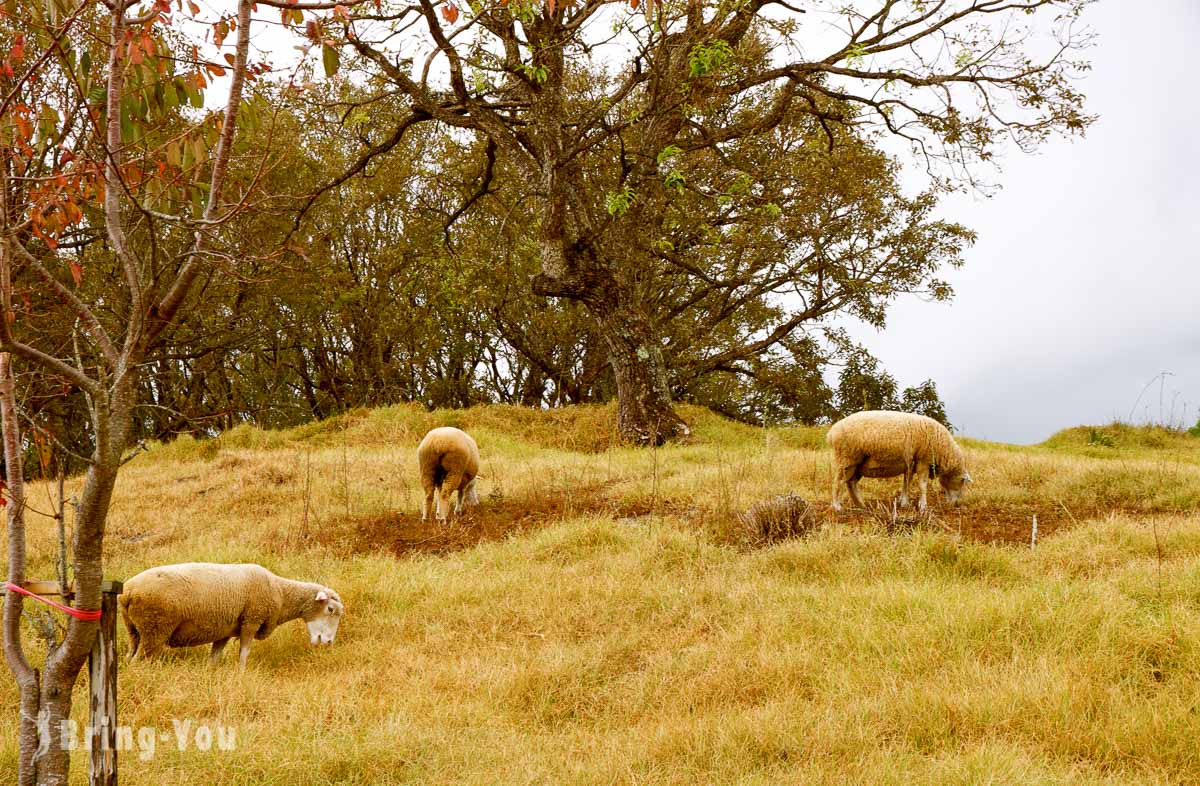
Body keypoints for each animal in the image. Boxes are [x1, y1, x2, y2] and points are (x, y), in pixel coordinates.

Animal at [119, 566, 345, 672]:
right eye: (330, 609)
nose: (328, 642)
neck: (280, 592)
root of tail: (128, 591)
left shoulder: (225, 631)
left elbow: (214, 658)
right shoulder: (251, 621)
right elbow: (244, 653)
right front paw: (242, 674)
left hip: (134, 631)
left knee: (129, 657)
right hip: (155, 629)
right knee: (138, 661)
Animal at [830, 408, 969, 513]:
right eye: (962, 482)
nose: (956, 504)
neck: (943, 449)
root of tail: (832, 432)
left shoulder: (910, 463)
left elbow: (906, 482)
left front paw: (904, 502)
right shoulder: (923, 461)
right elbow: (922, 485)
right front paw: (923, 506)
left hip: (856, 465)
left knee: (851, 483)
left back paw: (861, 504)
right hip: (847, 459)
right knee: (838, 482)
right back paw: (837, 507)